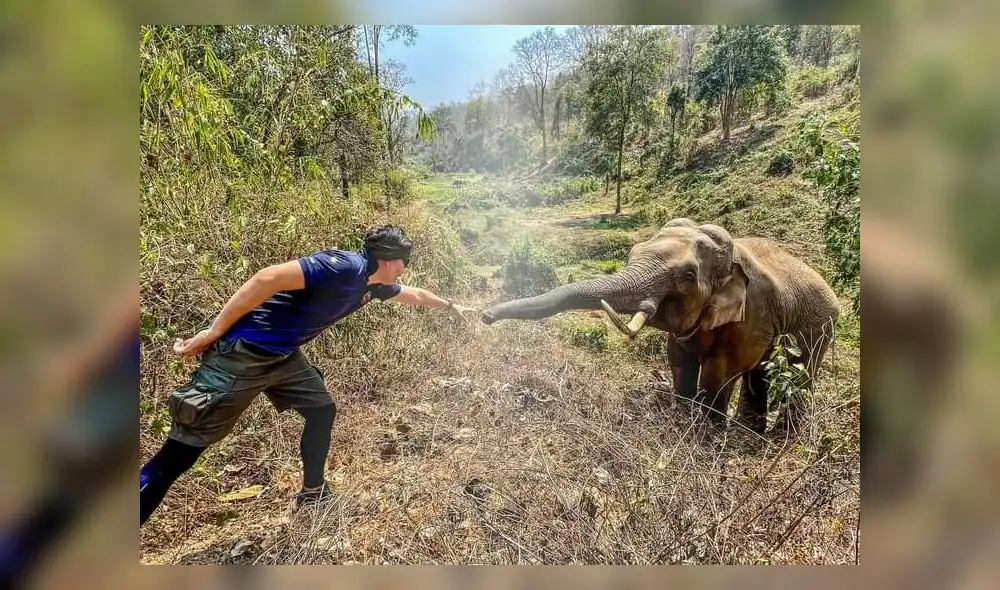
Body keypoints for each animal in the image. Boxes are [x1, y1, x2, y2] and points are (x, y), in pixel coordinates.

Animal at [480, 218, 841, 433]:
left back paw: (778, 438)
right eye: (633, 253)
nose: (485, 316)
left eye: (688, 276)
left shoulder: (752, 314)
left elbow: (721, 371)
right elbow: (679, 359)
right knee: (760, 375)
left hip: (821, 327)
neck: (731, 255)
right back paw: (751, 433)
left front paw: (706, 436)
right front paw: (683, 417)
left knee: (799, 375)